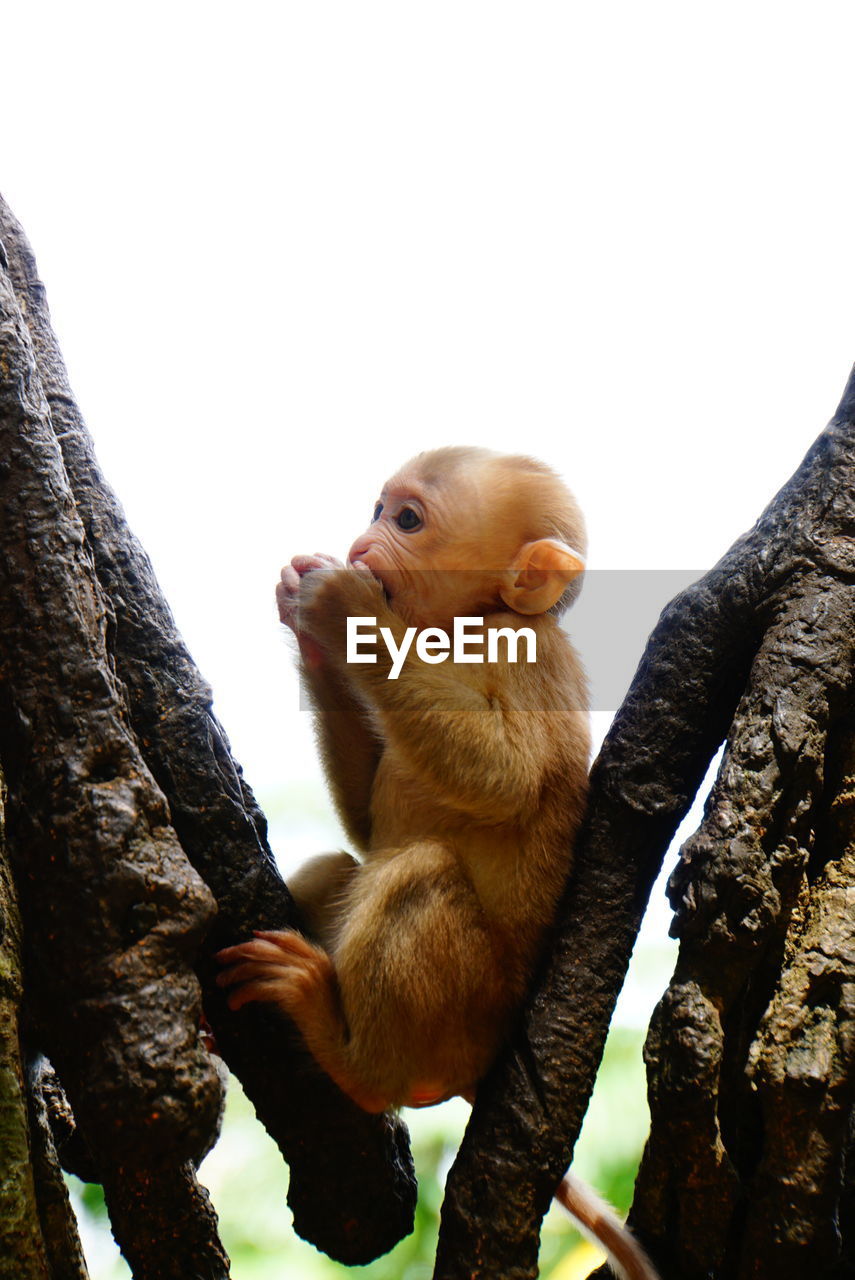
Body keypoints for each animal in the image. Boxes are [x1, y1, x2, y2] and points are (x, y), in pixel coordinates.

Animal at [217, 445, 660, 1274]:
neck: (463, 626)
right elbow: (366, 828)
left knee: (415, 872)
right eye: (376, 510)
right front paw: (310, 618)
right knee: (341, 870)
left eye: (407, 519)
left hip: (465, 1013)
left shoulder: (526, 656)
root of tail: (477, 1067)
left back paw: (353, 1064)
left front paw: (342, 608)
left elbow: (504, 776)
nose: (361, 544)